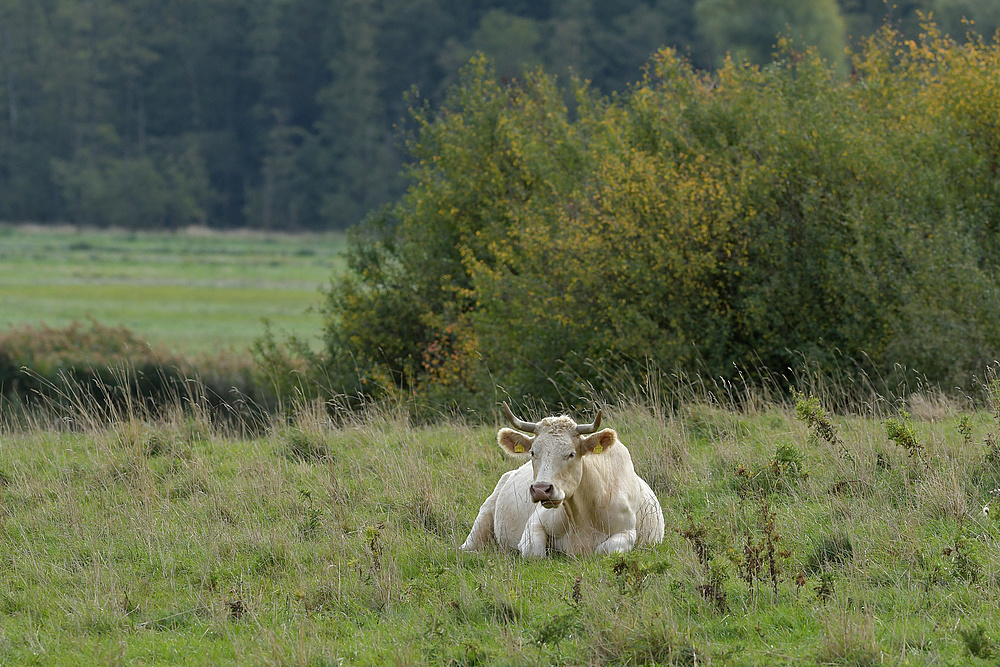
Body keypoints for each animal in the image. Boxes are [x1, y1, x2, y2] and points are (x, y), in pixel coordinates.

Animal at [460, 402, 664, 560]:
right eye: (532, 452)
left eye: (571, 454)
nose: (541, 489)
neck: (582, 515)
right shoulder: (534, 523)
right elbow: (535, 553)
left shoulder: (627, 532)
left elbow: (603, 550)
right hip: (484, 515)